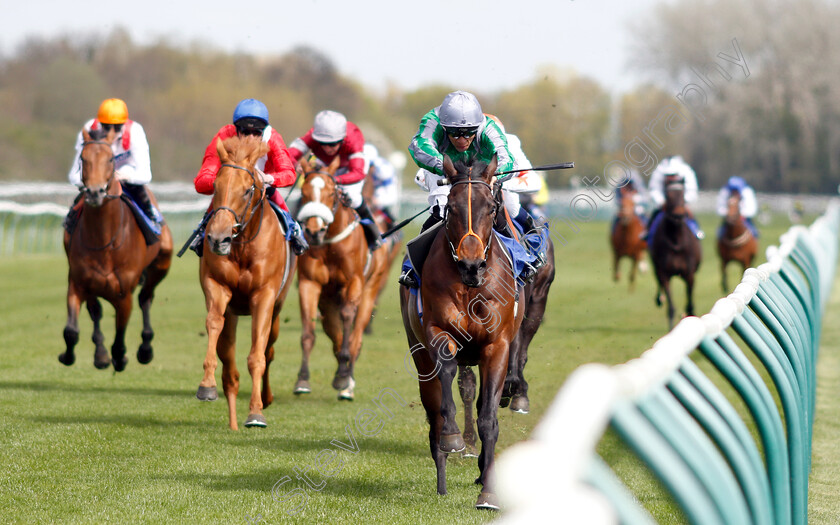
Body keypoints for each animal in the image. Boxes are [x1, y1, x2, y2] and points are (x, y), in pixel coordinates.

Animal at [60, 129, 172, 370]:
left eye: (110, 159)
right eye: (83, 158)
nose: (95, 193)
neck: (104, 241)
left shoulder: (124, 294)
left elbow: (120, 337)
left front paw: (120, 358)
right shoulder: (78, 283)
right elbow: (71, 330)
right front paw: (70, 356)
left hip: (161, 265)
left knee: (145, 298)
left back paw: (145, 349)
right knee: (96, 312)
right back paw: (101, 354)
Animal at [195, 135, 296, 430]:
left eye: (247, 190)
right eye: (215, 187)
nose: (218, 238)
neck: (241, 246)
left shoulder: (264, 296)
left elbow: (257, 356)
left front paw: (256, 412)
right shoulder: (217, 287)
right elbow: (214, 325)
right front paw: (206, 386)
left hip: (277, 308)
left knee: (269, 349)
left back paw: (266, 397)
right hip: (233, 314)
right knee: (230, 369)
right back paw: (232, 423)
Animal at [292, 158, 390, 400]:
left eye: (330, 194)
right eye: (304, 193)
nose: (314, 231)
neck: (329, 244)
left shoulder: (353, 282)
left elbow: (348, 319)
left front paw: (344, 376)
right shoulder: (309, 283)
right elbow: (308, 331)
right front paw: (303, 379)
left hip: (370, 289)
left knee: (356, 337)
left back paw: (347, 382)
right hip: (327, 302)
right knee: (332, 330)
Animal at [398, 155, 520, 508]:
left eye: (491, 208)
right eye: (450, 208)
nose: (471, 266)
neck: (470, 288)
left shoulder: (497, 345)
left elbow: (488, 418)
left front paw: (488, 492)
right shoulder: (437, 331)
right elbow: (447, 373)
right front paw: (453, 437)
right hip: (419, 357)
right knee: (434, 411)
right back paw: (442, 476)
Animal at [648, 176, 704, 328]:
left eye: (683, 194)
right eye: (668, 195)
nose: (678, 215)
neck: (676, 241)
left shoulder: (690, 275)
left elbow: (690, 306)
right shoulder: (665, 274)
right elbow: (671, 307)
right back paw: (659, 298)